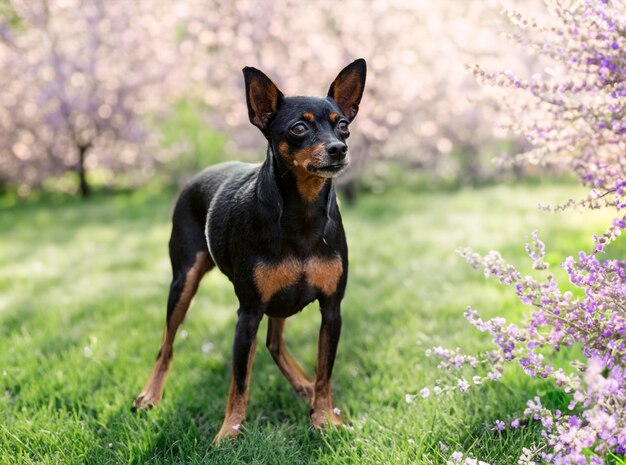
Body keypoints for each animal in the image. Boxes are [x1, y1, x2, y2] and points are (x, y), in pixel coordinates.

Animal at [132, 56, 366, 440]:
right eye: (299, 128)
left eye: (343, 125)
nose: (339, 148)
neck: (302, 213)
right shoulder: (249, 312)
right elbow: (239, 379)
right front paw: (230, 431)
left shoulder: (332, 309)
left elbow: (325, 373)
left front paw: (324, 419)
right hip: (184, 281)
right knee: (166, 344)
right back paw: (150, 395)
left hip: (280, 299)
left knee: (274, 344)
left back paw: (304, 388)